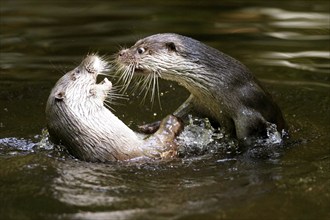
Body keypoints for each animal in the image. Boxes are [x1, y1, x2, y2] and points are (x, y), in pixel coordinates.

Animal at [113, 32, 286, 144]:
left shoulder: (248, 114)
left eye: (140, 50)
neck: (224, 83)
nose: (121, 53)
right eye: (135, 44)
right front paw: (150, 126)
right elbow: (180, 113)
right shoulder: (198, 102)